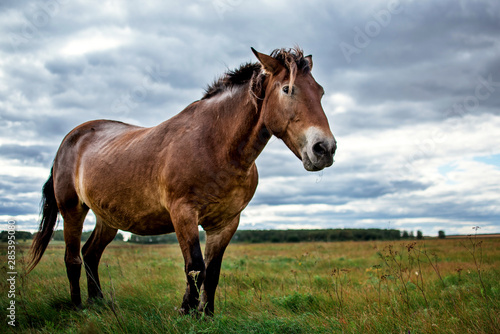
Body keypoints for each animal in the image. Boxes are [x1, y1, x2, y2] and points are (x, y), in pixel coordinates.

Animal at [29, 47, 338, 316]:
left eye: (321, 92)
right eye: (287, 89)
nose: (325, 149)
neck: (216, 145)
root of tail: (70, 140)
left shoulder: (225, 223)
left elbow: (212, 272)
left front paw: (207, 314)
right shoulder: (184, 213)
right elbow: (195, 267)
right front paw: (186, 312)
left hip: (108, 217)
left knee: (90, 254)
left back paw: (100, 303)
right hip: (73, 210)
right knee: (73, 258)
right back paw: (78, 307)